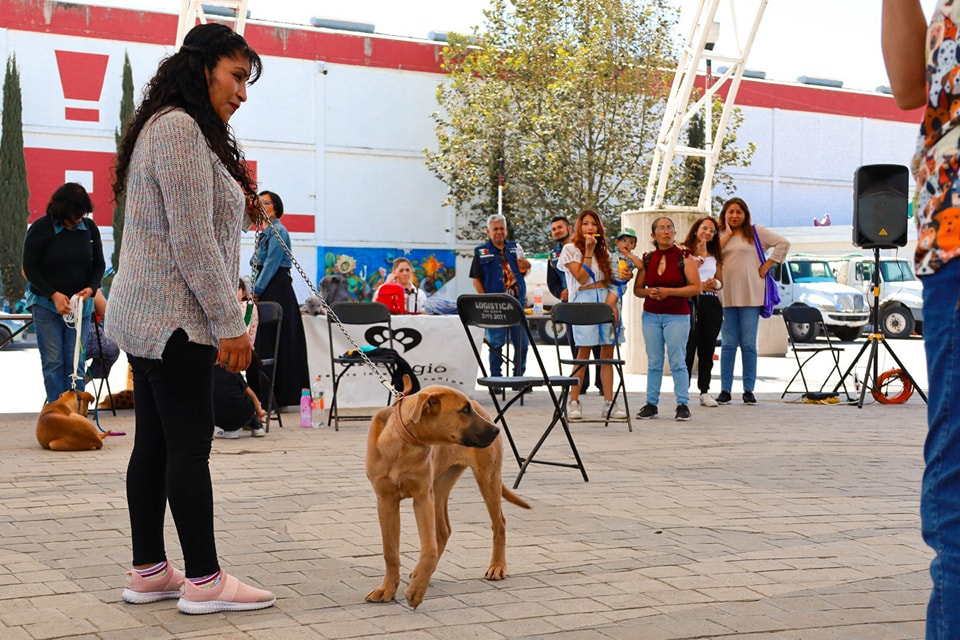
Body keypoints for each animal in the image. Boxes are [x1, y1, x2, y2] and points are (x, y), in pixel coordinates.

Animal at [366, 384, 532, 608]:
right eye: (464, 410)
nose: (497, 431)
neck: (404, 444)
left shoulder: (422, 497)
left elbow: (429, 548)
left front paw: (416, 591)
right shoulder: (386, 500)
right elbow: (390, 551)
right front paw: (388, 589)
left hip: (487, 477)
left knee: (499, 524)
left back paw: (497, 567)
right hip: (441, 484)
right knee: (444, 530)